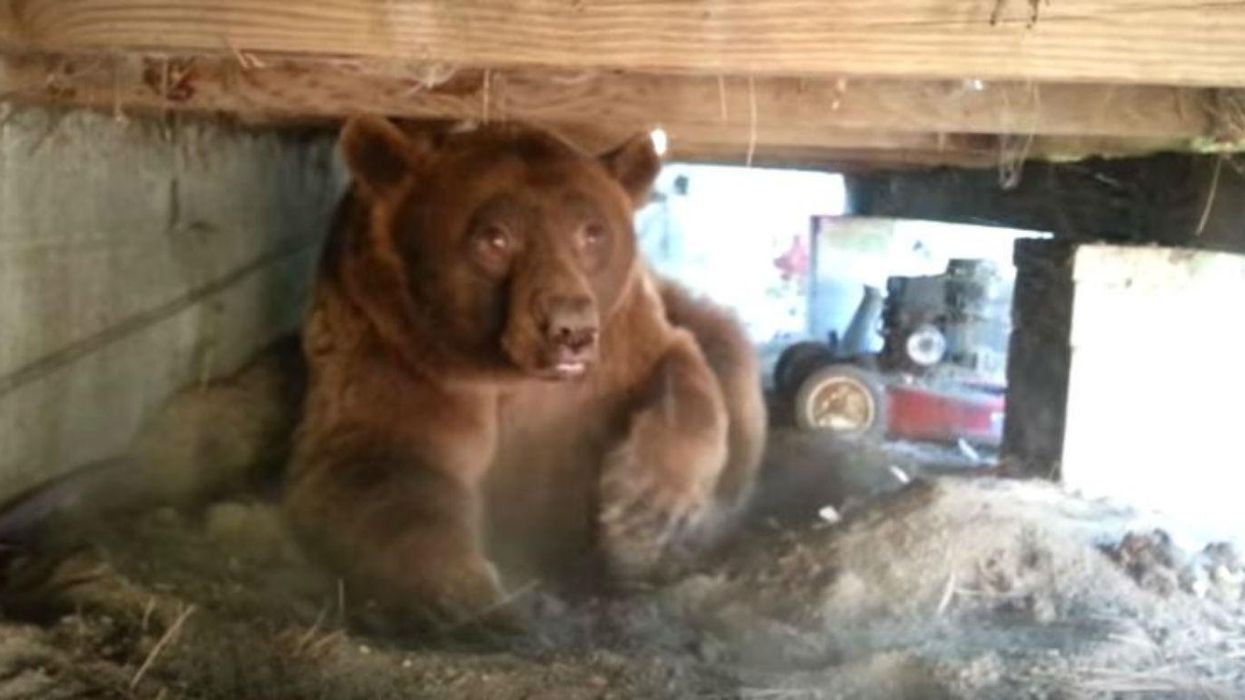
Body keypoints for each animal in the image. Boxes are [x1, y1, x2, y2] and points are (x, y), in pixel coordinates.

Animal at [283, 115, 766, 632]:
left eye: (591, 232)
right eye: (494, 237)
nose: (570, 329)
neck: (506, 369)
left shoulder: (618, 334)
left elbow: (677, 367)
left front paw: (640, 511)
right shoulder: (396, 351)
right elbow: (380, 464)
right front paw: (470, 593)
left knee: (728, 355)